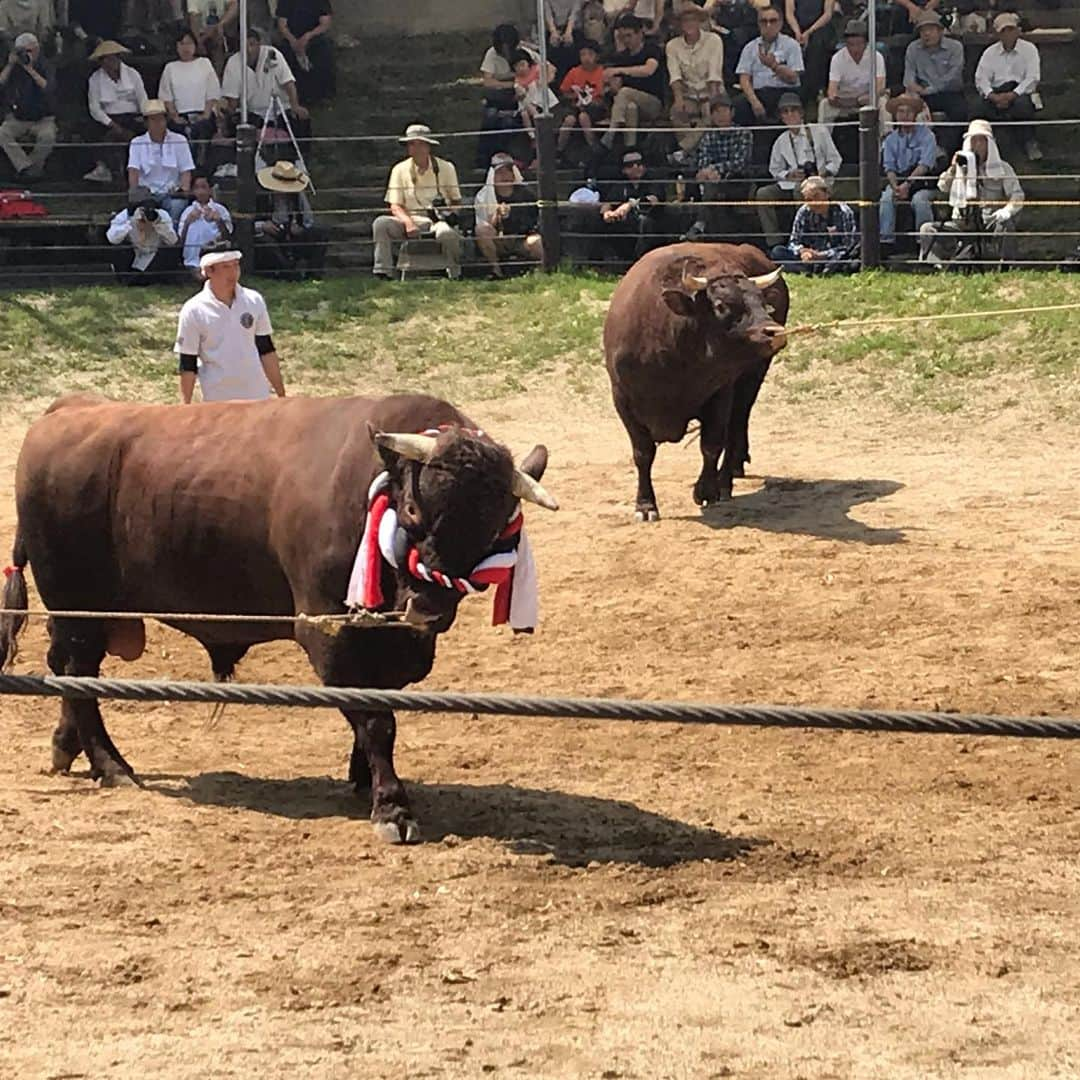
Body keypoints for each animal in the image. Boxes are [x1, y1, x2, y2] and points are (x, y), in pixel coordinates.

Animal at [0, 393, 557, 846]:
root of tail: (69, 409)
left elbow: (377, 707)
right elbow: (377, 721)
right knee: (78, 673)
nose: (429, 607)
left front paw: (362, 779)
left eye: (493, 528)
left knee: (68, 670)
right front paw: (392, 807)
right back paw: (112, 765)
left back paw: (67, 748)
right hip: (77, 604)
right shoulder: (329, 633)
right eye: (415, 510)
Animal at [604, 244, 790, 518]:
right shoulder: (623, 400)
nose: (774, 332)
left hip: (751, 378)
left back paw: (725, 481)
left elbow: (711, 445)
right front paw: (645, 504)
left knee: (735, 428)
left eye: (762, 302)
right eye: (721, 305)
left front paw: (706, 491)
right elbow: (643, 453)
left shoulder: (720, 394)